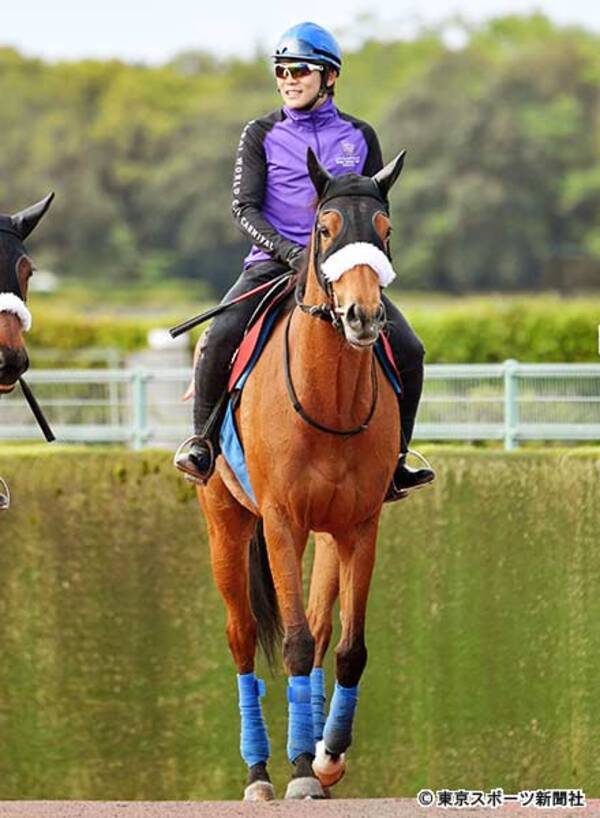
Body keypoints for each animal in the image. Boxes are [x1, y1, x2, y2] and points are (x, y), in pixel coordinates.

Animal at [197, 148, 406, 800]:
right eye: (325, 229)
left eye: (386, 230)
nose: (363, 315)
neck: (329, 399)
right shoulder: (281, 522)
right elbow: (290, 643)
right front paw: (298, 770)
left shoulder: (360, 526)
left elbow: (346, 648)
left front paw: (326, 757)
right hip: (227, 524)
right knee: (242, 638)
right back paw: (261, 771)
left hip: (328, 533)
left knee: (317, 628)